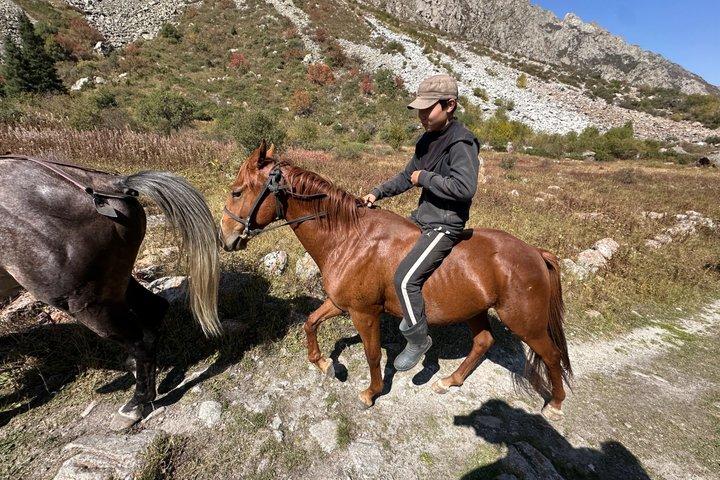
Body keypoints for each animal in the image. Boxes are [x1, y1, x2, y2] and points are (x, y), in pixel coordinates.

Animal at [0, 154, 221, 430]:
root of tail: (112, 186)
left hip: (84, 301)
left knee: (138, 340)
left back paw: (135, 404)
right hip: (114, 282)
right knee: (153, 310)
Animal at [219, 142, 572, 420]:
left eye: (237, 191)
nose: (225, 237)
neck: (350, 239)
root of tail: (535, 253)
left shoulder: (364, 313)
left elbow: (373, 354)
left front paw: (371, 392)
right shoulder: (340, 303)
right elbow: (310, 322)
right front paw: (325, 364)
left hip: (525, 322)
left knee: (551, 355)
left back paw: (556, 404)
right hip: (475, 310)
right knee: (483, 342)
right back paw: (450, 381)